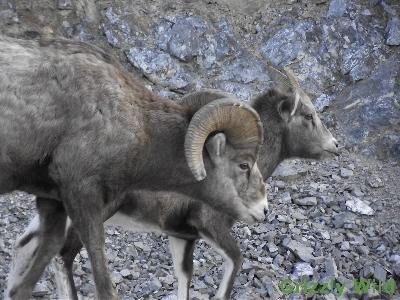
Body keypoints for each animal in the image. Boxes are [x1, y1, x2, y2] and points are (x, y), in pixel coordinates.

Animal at [0, 36, 268, 298]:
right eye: (244, 165)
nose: (263, 210)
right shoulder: (83, 195)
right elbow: (103, 283)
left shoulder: (53, 201)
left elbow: (29, 278)